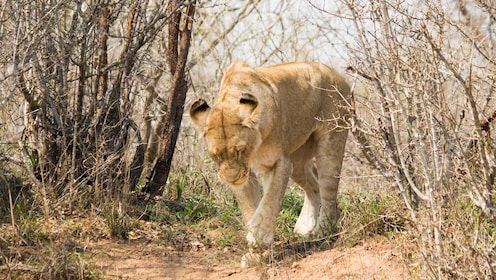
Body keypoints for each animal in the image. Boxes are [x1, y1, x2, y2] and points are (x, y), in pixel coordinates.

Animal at [191, 60, 352, 262]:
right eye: (215, 155)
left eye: (240, 150)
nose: (232, 179)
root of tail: (340, 77)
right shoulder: (248, 174)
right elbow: (250, 208)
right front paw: (257, 254)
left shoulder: (279, 163)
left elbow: (270, 201)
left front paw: (259, 236)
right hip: (298, 161)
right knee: (314, 187)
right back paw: (305, 226)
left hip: (330, 144)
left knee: (328, 191)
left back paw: (322, 231)